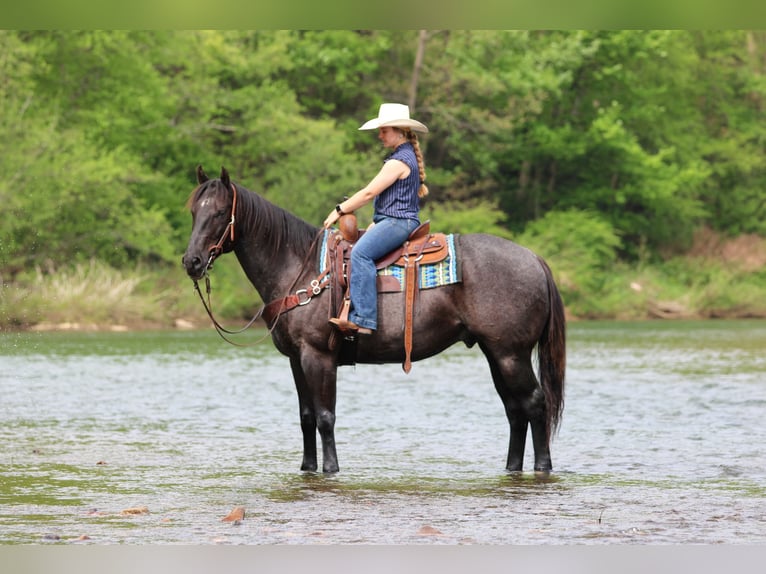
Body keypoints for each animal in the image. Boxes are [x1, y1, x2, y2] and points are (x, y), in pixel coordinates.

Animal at [182, 166, 566, 474]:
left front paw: (331, 469)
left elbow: (325, 416)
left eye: (220, 212)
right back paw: (512, 467)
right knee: (515, 410)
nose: (192, 261)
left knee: (535, 404)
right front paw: (307, 468)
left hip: (511, 354)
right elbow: (306, 417)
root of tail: (534, 259)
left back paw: (542, 467)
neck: (299, 269)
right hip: (496, 354)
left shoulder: (319, 356)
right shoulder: (296, 359)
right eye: (193, 211)